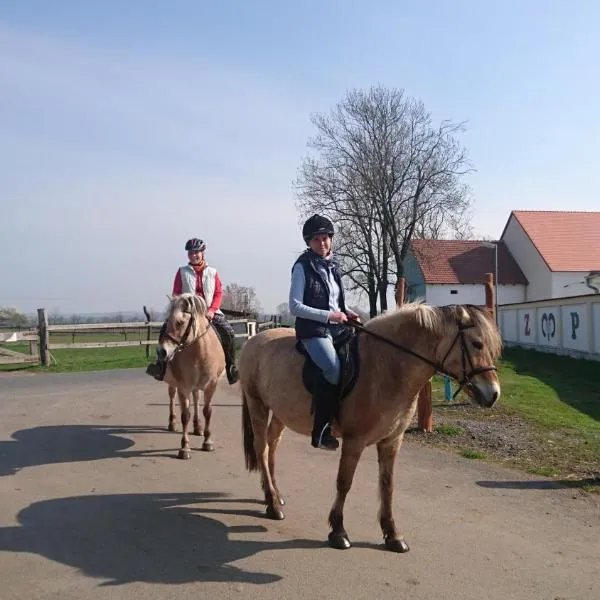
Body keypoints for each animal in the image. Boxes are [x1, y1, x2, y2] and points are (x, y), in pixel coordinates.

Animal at [157, 292, 225, 458]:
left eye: (180, 322)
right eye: (167, 321)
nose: (161, 351)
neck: (199, 352)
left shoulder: (211, 385)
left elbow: (207, 411)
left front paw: (207, 441)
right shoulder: (184, 387)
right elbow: (185, 415)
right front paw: (185, 447)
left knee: (196, 399)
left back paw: (198, 427)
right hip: (173, 384)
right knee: (172, 397)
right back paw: (172, 423)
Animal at [239, 304, 502, 552]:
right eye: (477, 344)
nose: (493, 394)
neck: (386, 365)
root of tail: (254, 340)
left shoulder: (392, 441)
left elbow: (388, 486)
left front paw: (393, 535)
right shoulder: (354, 441)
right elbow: (344, 482)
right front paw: (338, 531)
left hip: (280, 412)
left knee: (272, 446)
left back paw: (275, 494)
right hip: (257, 404)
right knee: (262, 449)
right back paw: (272, 503)